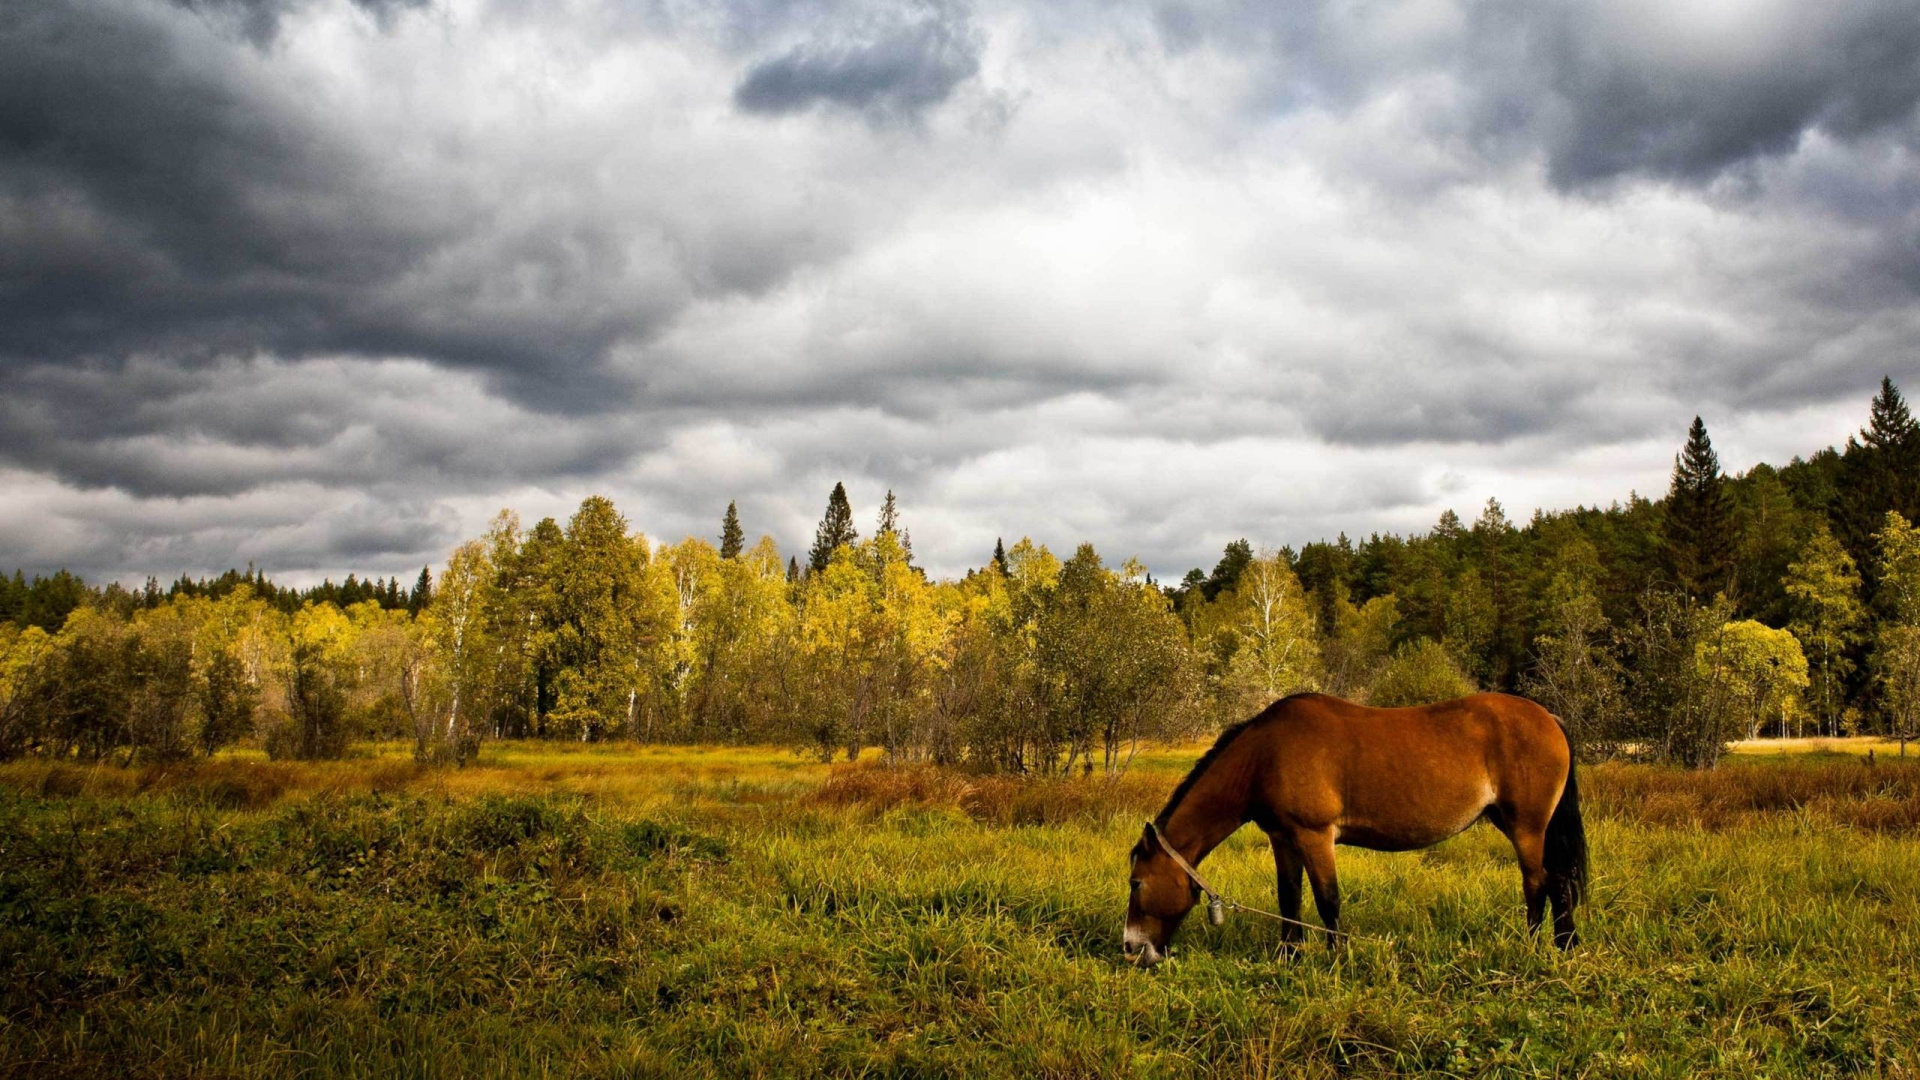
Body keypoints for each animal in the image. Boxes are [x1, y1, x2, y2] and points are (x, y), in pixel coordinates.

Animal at [1123, 692, 1586, 966]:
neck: (1265, 755)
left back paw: (1535, 945)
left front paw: (1337, 958)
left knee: (1538, 882)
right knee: (1557, 880)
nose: (1130, 948)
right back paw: (1564, 944)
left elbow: (1327, 900)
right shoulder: (1283, 839)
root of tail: (1549, 717)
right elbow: (1289, 897)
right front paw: (1289, 955)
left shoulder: (1315, 836)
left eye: (1136, 883)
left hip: (1527, 827)